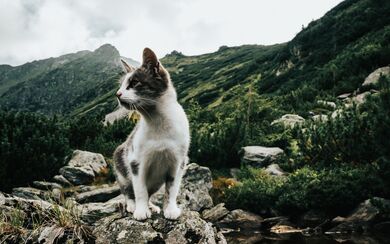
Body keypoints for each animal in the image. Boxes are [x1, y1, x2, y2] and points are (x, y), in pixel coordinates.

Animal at [112, 46, 190, 220]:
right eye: (121, 85)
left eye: (134, 83)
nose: (118, 94)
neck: (158, 122)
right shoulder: (135, 162)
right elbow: (140, 190)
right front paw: (141, 211)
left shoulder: (178, 162)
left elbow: (172, 189)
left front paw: (170, 209)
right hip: (121, 167)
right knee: (128, 192)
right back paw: (132, 206)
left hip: (156, 182)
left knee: (150, 193)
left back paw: (152, 206)